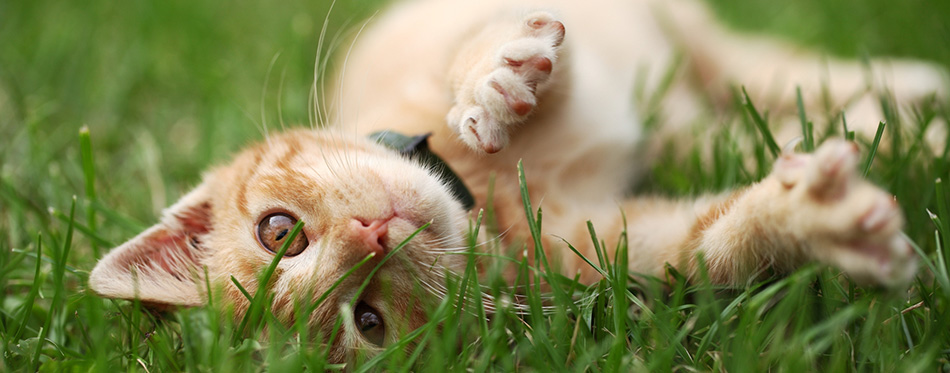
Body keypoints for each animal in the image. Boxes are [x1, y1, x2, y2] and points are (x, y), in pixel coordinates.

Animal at [87, 0, 944, 364]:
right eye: (368, 322)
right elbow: (709, 243)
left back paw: (905, 88)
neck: (484, 198)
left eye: (279, 232)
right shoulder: (598, 244)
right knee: (719, 119)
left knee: (748, 62)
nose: (374, 235)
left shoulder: (440, 35)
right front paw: (817, 222)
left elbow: (488, 50)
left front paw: (490, 82)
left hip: (681, 31)